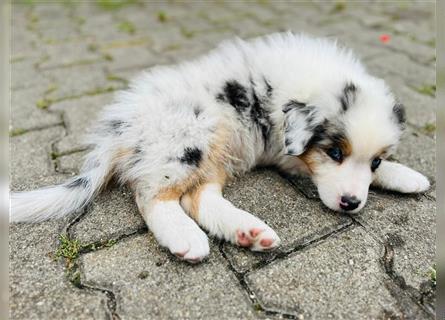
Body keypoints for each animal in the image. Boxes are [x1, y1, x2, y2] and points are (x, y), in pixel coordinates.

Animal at [10, 32, 428, 262]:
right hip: (189, 139)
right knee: (153, 197)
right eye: (335, 153)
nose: (351, 204)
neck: (312, 83)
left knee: (198, 198)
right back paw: (186, 239)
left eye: (374, 162)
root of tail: (121, 128)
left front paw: (407, 175)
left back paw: (248, 232)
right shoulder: (288, 152)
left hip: (220, 151)